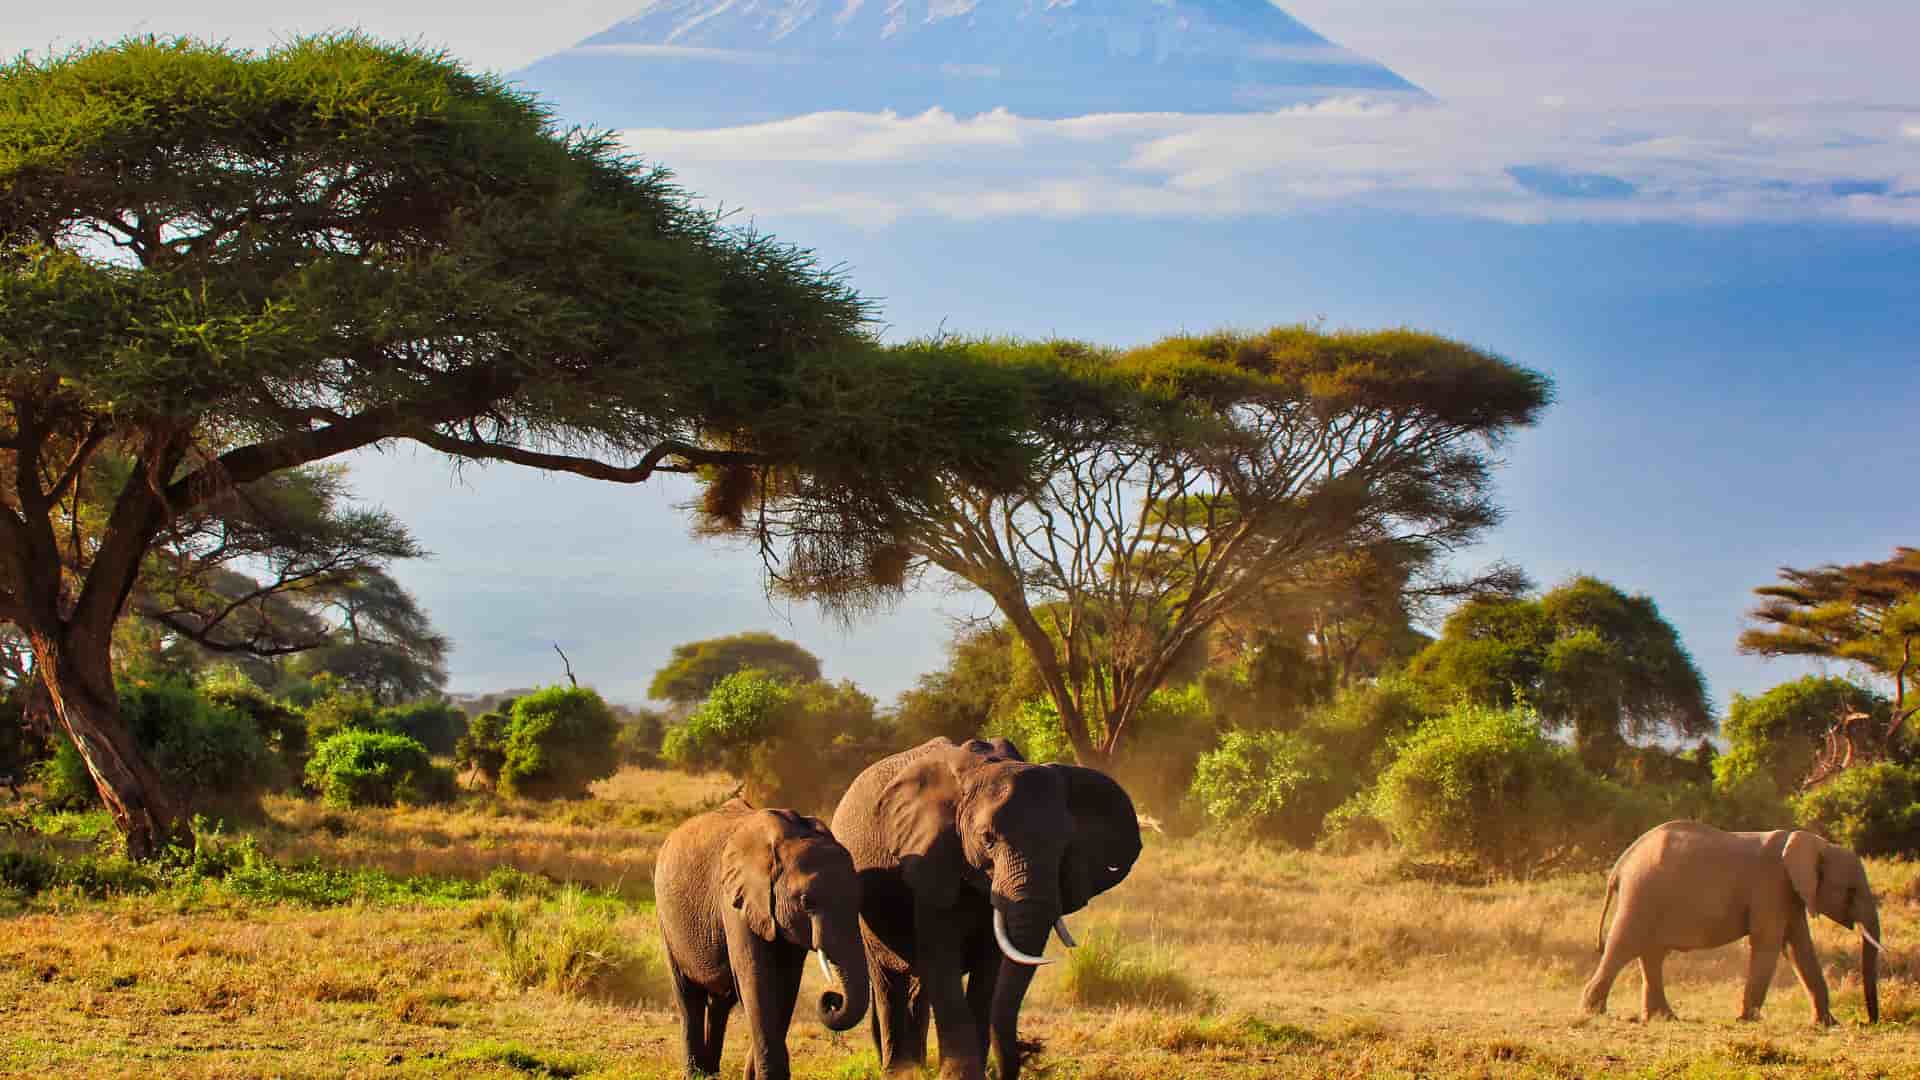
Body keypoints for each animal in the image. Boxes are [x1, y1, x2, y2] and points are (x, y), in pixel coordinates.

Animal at [654, 799, 870, 1079]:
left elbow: (786, 984)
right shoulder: (736, 903)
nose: (832, 999)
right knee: (688, 997)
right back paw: (697, 1074)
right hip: (667, 921)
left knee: (720, 1001)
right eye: (806, 902)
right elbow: (757, 979)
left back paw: (711, 1073)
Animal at [830, 737, 1142, 1080]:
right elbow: (943, 959)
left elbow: (989, 969)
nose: (1030, 1049)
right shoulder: (929, 860)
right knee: (888, 979)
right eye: (987, 839)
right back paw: (901, 1071)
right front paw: (959, 1076)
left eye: (1065, 844)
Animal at [1582, 820, 1884, 1025]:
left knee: (1652, 954)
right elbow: (1769, 942)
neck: (1816, 844)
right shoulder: (1771, 886)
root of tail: (1620, 865)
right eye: (1851, 892)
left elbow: (1798, 947)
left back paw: (1664, 1018)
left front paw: (1827, 1024)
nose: (1869, 1021)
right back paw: (1592, 1012)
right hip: (1641, 892)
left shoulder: (1790, 894)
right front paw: (1747, 1020)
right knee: (1624, 945)